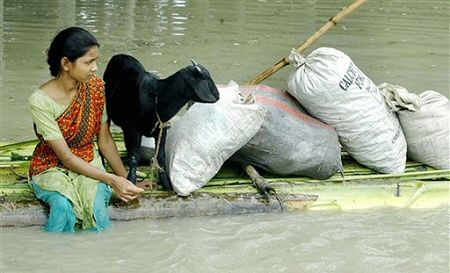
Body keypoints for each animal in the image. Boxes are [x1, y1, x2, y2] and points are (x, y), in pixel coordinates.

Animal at [103, 53, 220, 189]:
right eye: (206, 78)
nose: (218, 95)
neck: (156, 97)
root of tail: (119, 55)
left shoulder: (162, 129)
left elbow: (161, 156)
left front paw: (166, 183)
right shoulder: (133, 129)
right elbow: (135, 157)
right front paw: (131, 180)